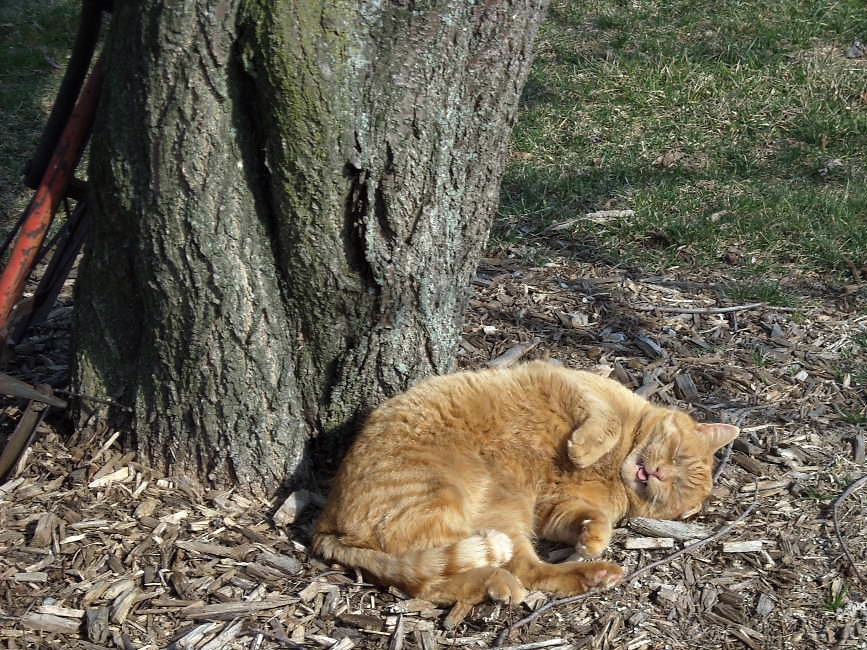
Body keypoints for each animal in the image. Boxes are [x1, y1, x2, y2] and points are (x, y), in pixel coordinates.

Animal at [313, 360, 738, 605]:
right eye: (678, 456)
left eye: (674, 493)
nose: (660, 474)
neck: (616, 465)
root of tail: (325, 526)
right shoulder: (579, 386)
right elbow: (605, 424)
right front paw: (583, 450)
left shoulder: (557, 510)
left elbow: (590, 518)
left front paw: (594, 539)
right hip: (448, 498)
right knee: (429, 579)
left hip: (501, 515)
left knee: (503, 573)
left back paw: (586, 575)